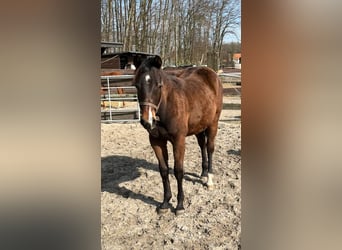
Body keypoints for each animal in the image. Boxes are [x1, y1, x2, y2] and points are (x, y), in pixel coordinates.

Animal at [132, 56, 223, 215]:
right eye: (137, 85)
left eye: (159, 85)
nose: (147, 121)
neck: (166, 105)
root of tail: (212, 74)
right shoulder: (156, 141)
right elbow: (164, 170)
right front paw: (165, 202)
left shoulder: (179, 140)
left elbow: (178, 171)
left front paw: (180, 205)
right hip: (199, 127)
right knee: (202, 146)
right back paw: (203, 173)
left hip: (213, 123)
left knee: (210, 148)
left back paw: (209, 180)